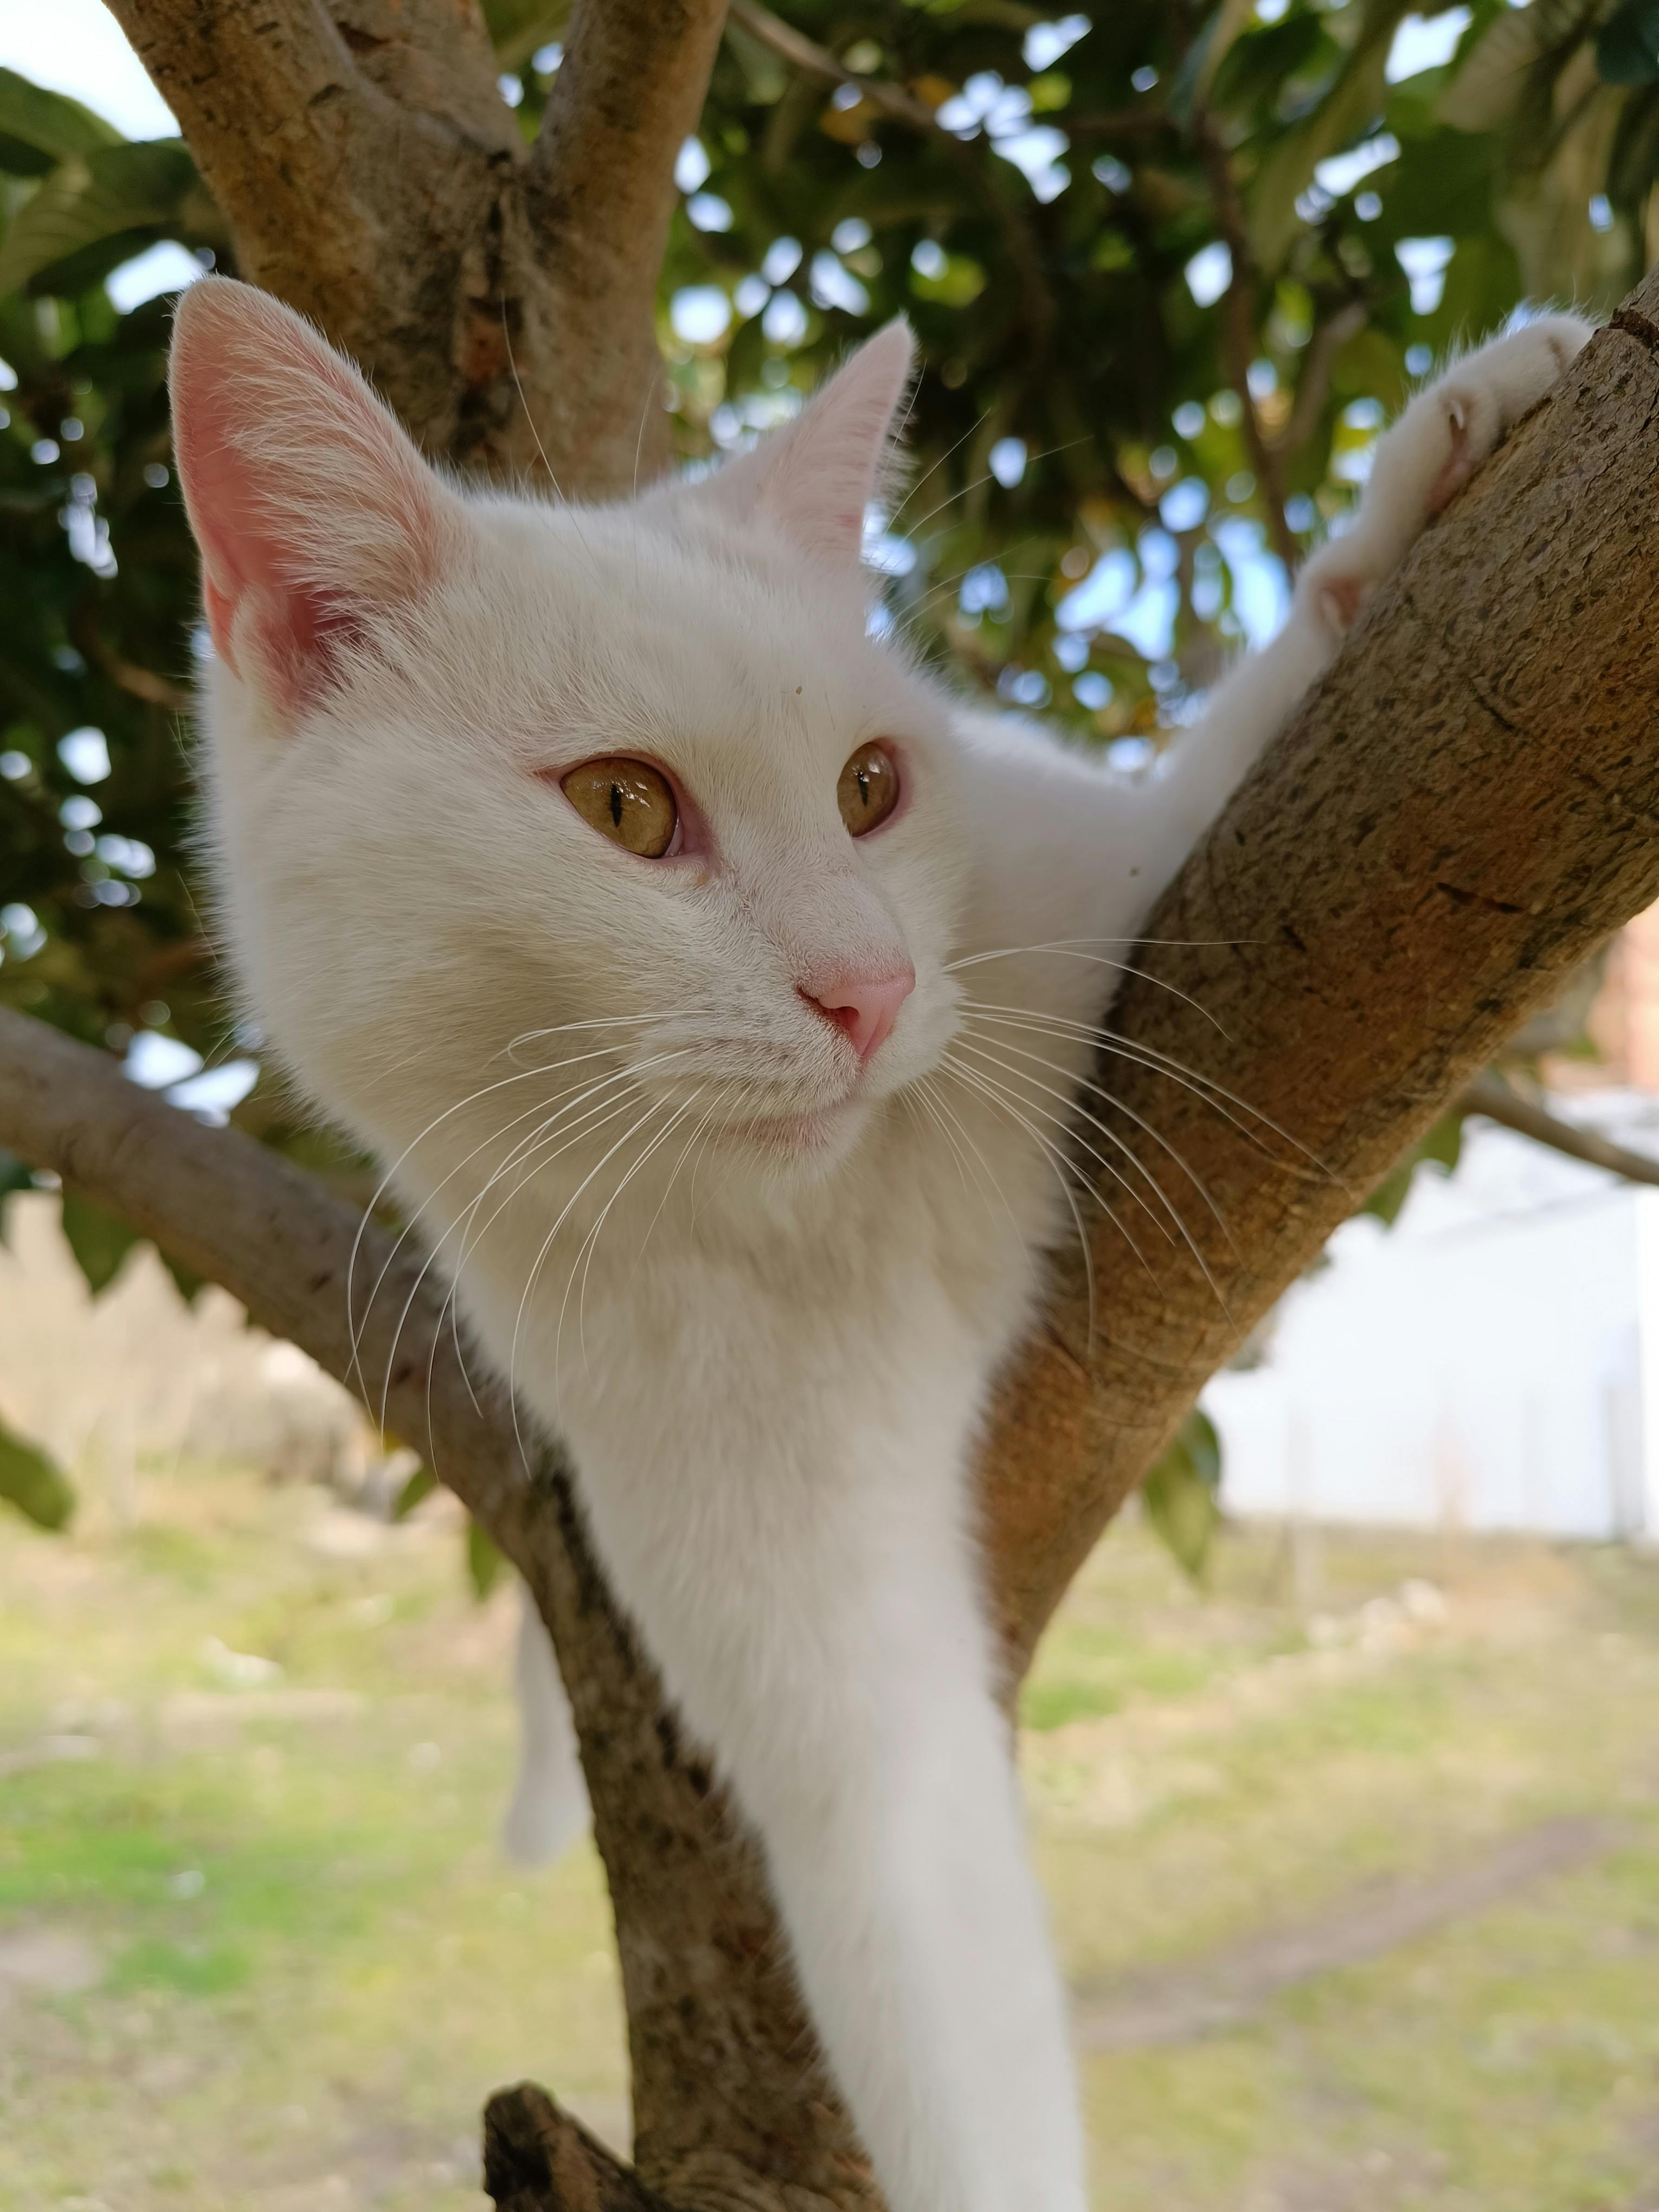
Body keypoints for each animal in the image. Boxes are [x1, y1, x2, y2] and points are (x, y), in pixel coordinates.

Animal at [176, 285, 1592, 2212]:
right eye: (623, 807)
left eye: (871, 789)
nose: (873, 987)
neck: (826, 1210)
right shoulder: (795, 1606)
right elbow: (937, 1971)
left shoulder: (1100, 878)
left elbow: (1225, 776)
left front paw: (1419, 501)